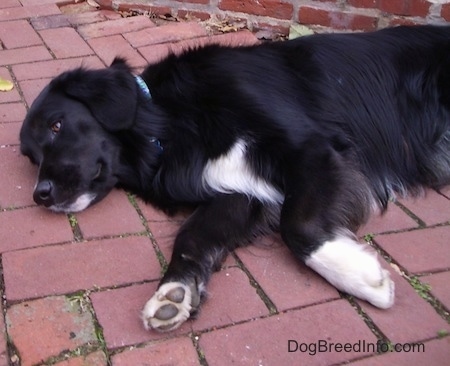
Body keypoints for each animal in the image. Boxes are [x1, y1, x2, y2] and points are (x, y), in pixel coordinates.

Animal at [19, 25, 448, 332]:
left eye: (57, 125)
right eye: (30, 156)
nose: (41, 194)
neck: (169, 121)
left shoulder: (312, 147)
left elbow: (299, 225)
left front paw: (359, 275)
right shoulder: (242, 192)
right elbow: (193, 236)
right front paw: (175, 292)